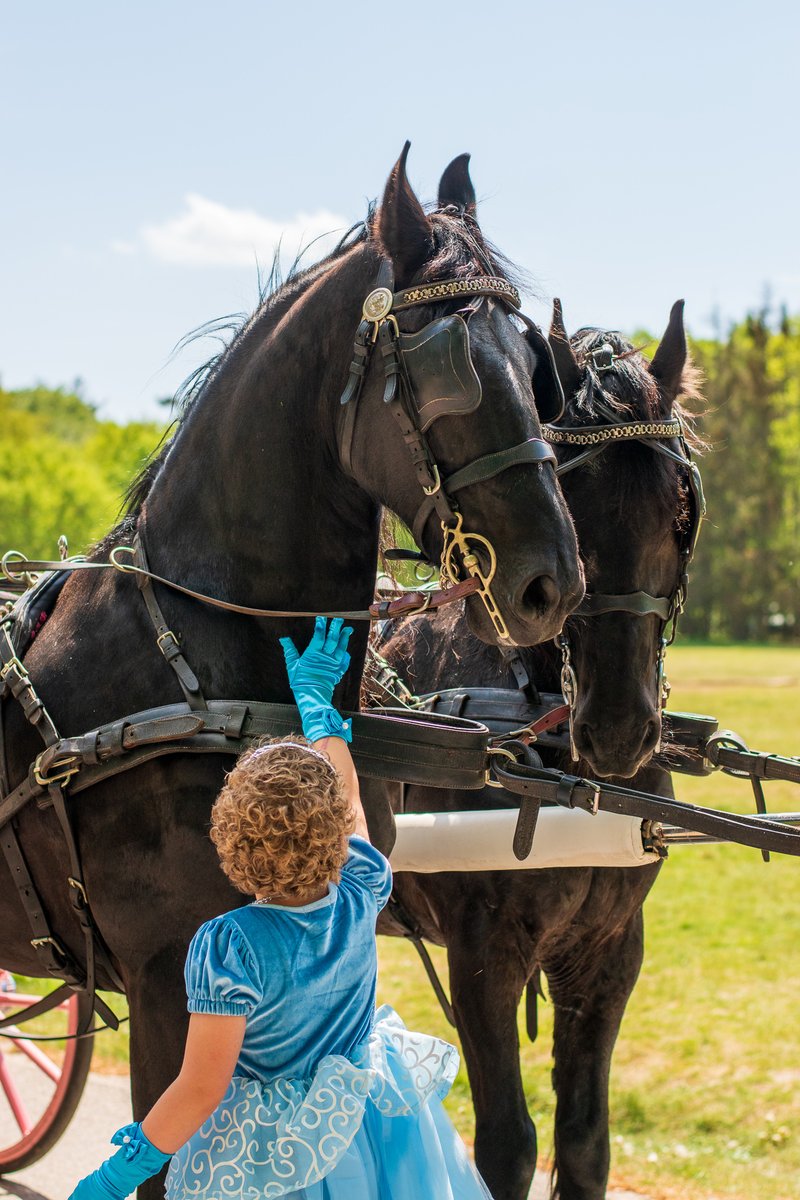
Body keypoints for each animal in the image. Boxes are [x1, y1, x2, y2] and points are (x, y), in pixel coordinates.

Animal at [367, 291, 703, 1200]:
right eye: (571, 498)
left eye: (680, 509)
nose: (618, 728)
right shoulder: (484, 953)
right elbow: (509, 1148)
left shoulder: (610, 951)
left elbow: (584, 1144)